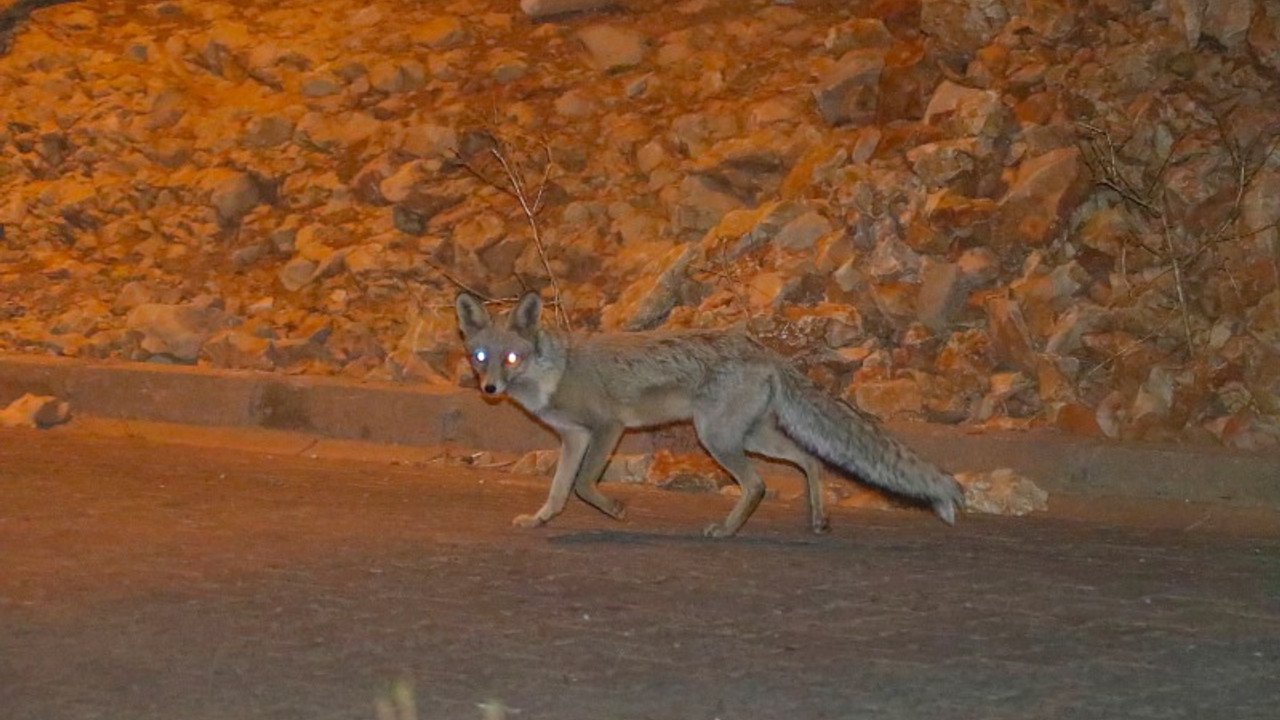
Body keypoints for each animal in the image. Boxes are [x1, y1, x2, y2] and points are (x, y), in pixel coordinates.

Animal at [455, 289, 962, 532]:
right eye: (481, 357)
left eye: (512, 358)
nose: (490, 388)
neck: (554, 373)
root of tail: (763, 349)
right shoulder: (574, 437)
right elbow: (560, 491)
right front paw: (540, 520)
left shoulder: (606, 427)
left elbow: (582, 486)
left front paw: (616, 510)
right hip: (750, 437)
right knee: (810, 460)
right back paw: (817, 518)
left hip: (717, 439)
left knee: (758, 485)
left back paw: (726, 530)